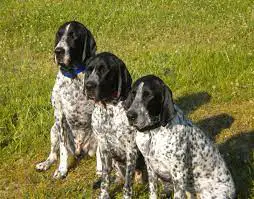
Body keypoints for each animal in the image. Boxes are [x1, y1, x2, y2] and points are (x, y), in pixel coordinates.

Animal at [35, 20, 99, 179]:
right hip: (54, 129)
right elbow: (63, 149)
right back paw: (45, 164)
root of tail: (80, 150)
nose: (58, 51)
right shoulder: (60, 116)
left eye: (73, 36)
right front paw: (62, 170)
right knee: (54, 154)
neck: (74, 76)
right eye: (59, 34)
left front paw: (101, 171)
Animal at [84, 52, 146, 199]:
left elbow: (127, 184)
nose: (89, 86)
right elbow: (105, 179)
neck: (108, 110)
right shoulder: (104, 148)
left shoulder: (131, 150)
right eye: (89, 70)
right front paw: (104, 195)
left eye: (104, 70)